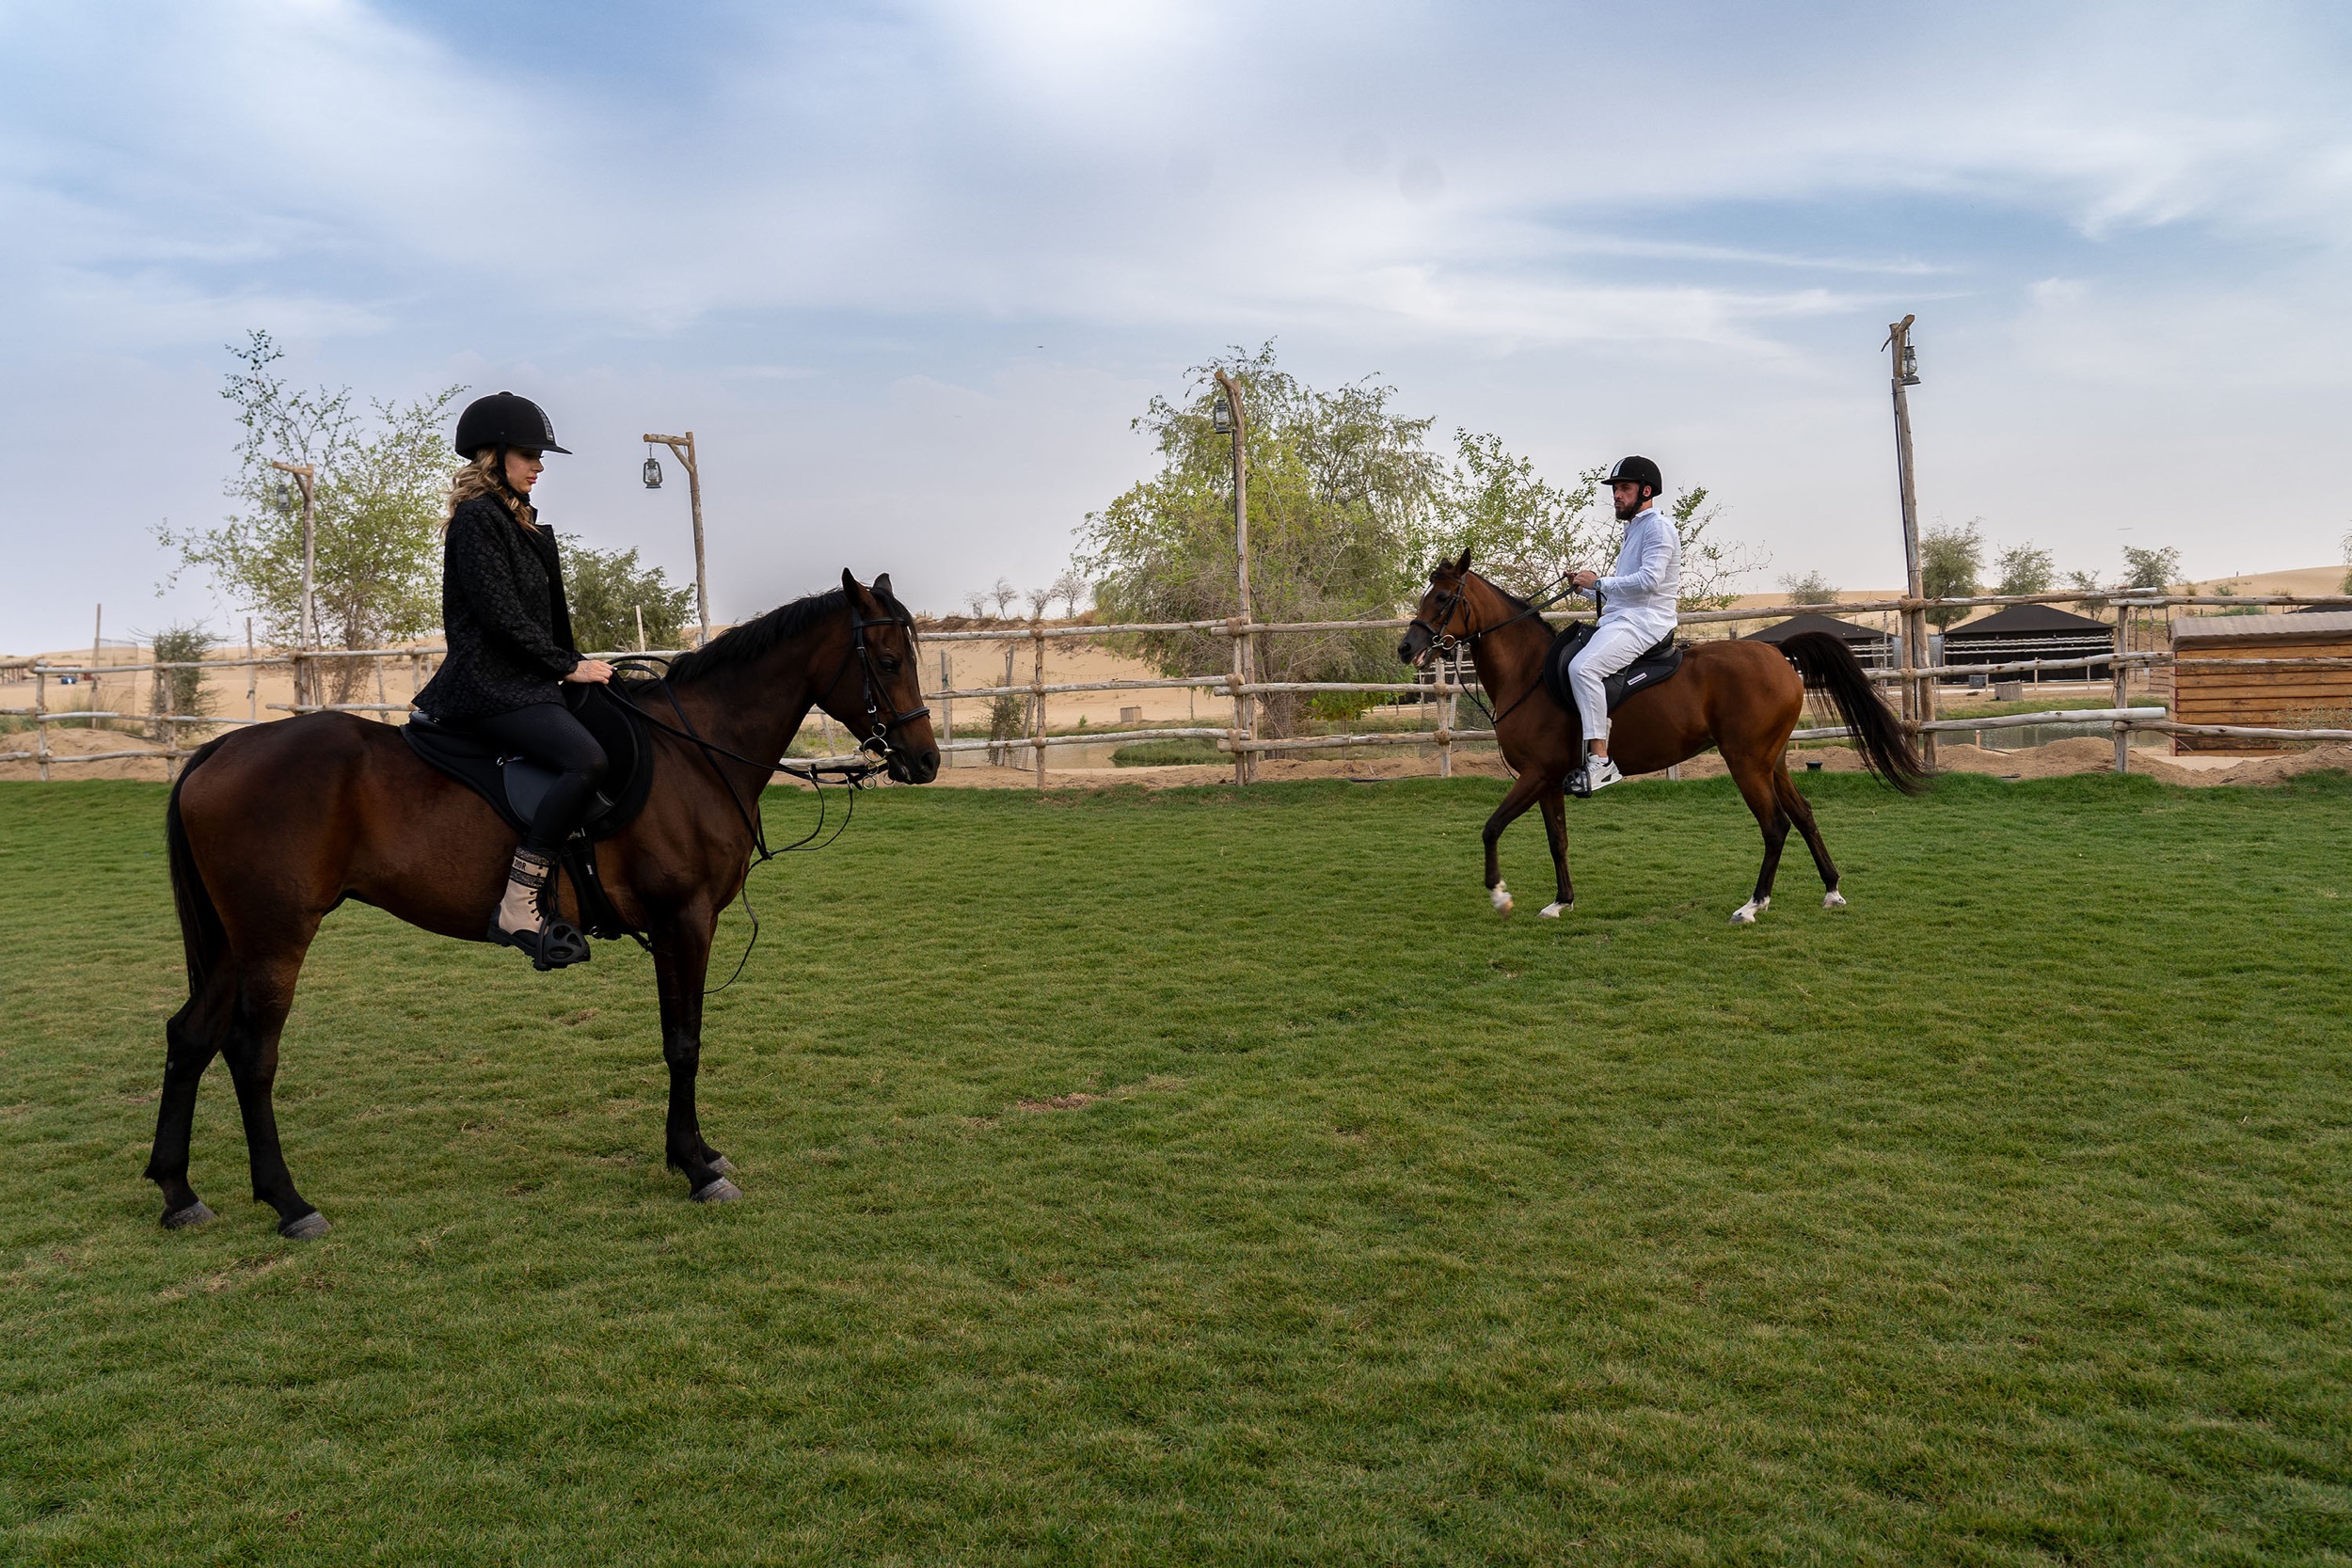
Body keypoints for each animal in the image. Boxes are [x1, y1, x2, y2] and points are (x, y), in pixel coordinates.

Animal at [148, 571, 939, 1237]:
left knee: (190, 1035)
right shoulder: (683, 920)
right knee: (252, 1054)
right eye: (887, 660)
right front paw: (695, 1166)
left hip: (235, 941)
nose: (926, 760)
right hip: (275, 937)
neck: (694, 751)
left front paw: (701, 1153)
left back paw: (179, 1192)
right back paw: (288, 1201)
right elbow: (682, 1041)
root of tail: (219, 751)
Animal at [1398, 551, 1924, 924]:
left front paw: (1499, 895)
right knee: (1804, 815)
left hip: (1746, 762)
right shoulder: (1548, 781)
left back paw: (1753, 905)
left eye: (1442, 597)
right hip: (1771, 761)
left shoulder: (1535, 774)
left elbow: (1491, 827)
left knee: (1775, 826)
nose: (1407, 647)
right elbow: (1557, 840)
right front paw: (1562, 902)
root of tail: (1778, 654)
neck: (1531, 672)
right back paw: (1831, 890)